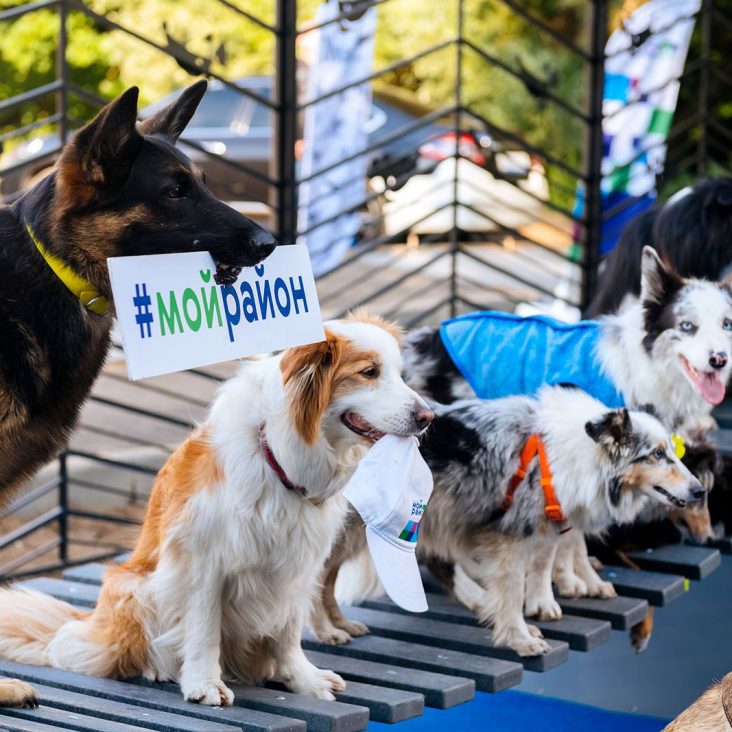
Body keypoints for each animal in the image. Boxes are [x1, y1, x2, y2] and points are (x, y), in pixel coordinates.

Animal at [0, 314, 428, 704]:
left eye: (401, 374)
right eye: (369, 373)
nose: (428, 417)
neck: (278, 454)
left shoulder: (299, 562)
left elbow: (288, 631)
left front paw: (301, 679)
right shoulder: (204, 560)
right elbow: (204, 629)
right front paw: (204, 683)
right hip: (137, 586)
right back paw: (157, 668)